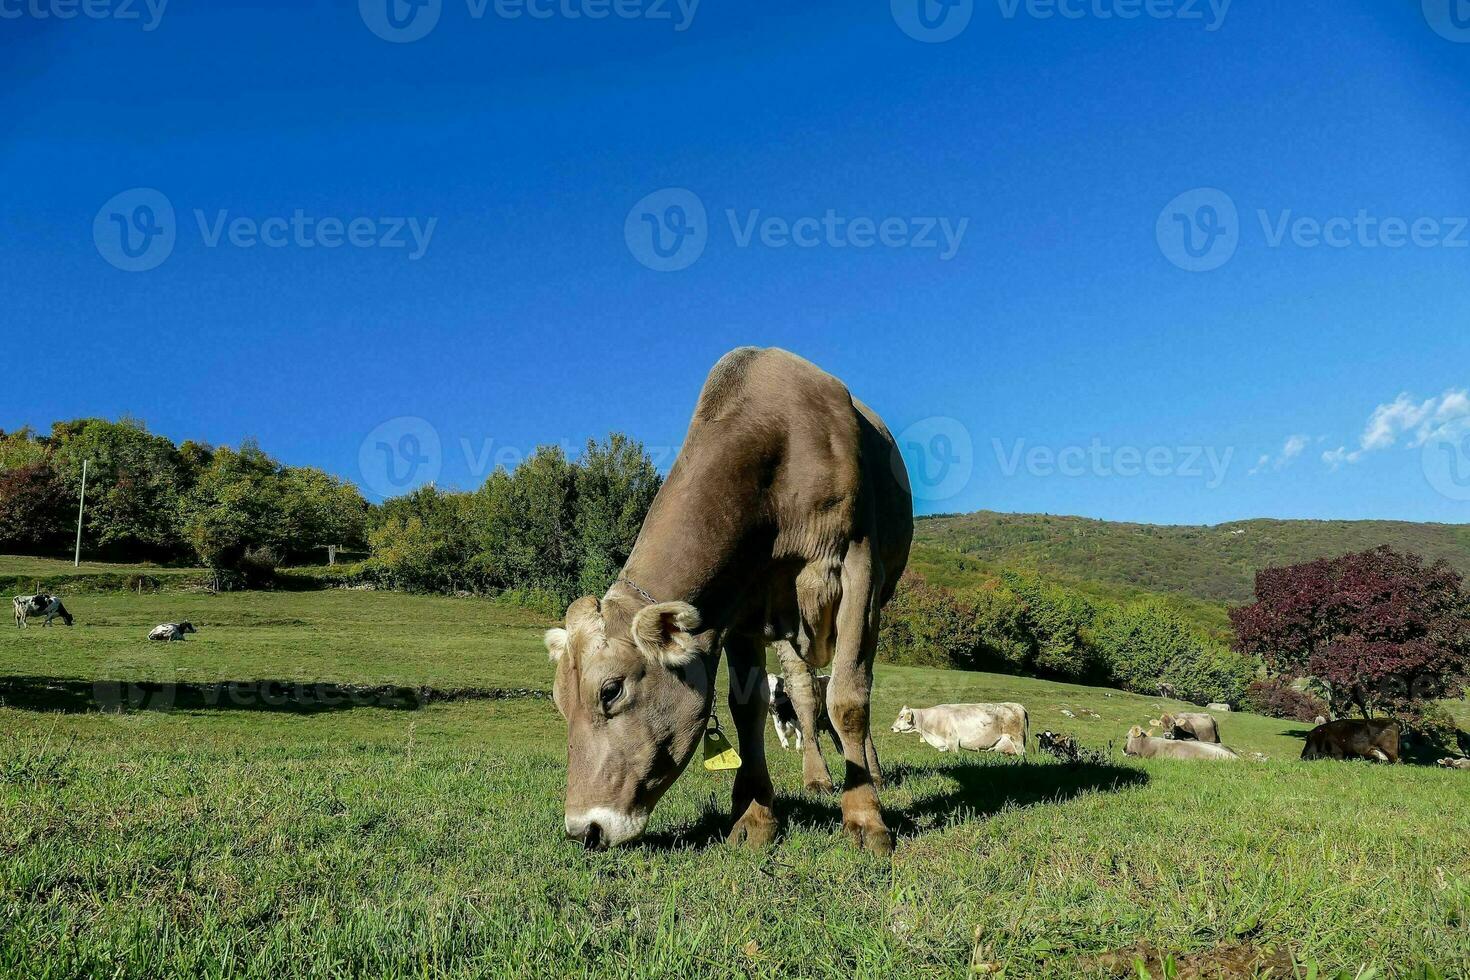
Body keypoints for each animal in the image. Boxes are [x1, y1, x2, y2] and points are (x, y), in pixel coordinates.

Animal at [543, 351, 905, 852]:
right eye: (559, 702)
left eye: (610, 690)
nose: (584, 830)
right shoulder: (743, 604)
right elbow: (746, 706)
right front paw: (754, 817)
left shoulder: (859, 565)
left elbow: (849, 698)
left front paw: (866, 817)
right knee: (804, 694)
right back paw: (816, 777)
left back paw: (872, 772)